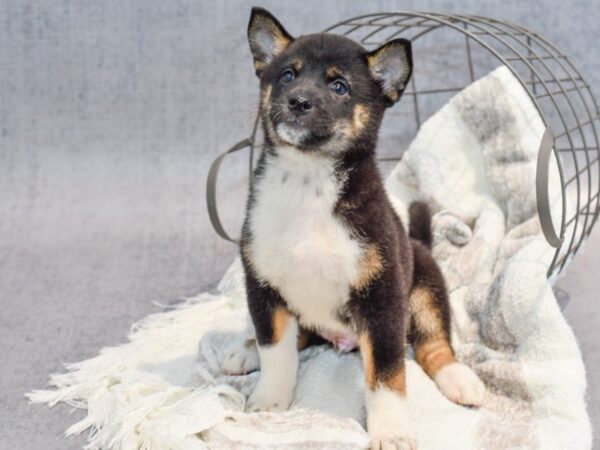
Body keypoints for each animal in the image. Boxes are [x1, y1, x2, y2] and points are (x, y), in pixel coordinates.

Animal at [223, 7, 486, 450]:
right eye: (288, 75)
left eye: (339, 86)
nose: (297, 101)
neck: (307, 183)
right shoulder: (263, 287)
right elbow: (276, 352)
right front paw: (269, 402)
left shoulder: (381, 300)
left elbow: (386, 377)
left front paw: (392, 432)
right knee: (293, 338)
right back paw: (246, 351)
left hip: (426, 289)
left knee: (433, 345)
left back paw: (459, 380)